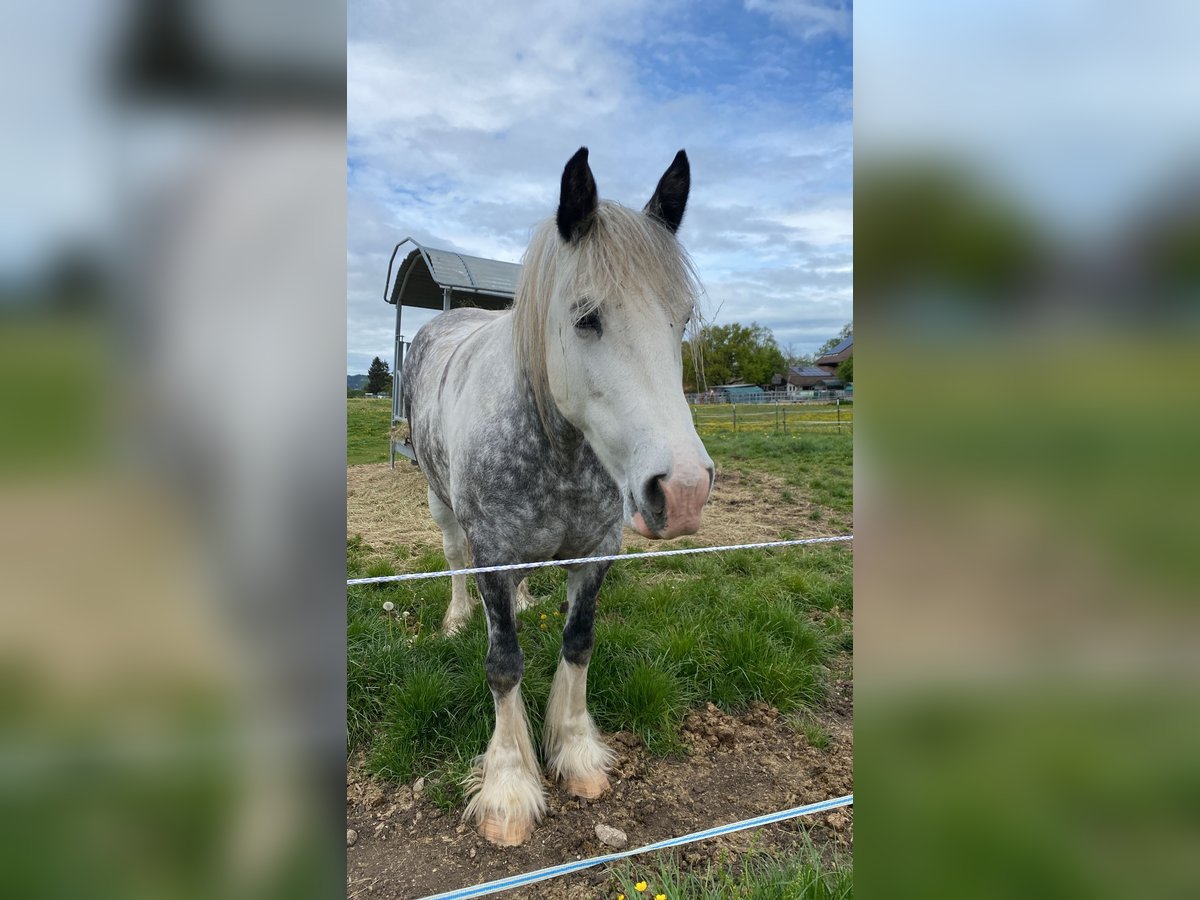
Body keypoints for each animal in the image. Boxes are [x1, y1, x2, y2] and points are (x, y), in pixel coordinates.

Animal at [408, 146, 715, 844]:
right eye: (585, 317)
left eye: (681, 318)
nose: (683, 491)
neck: (560, 451)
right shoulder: (493, 554)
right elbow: (503, 663)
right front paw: (508, 788)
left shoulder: (596, 551)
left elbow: (577, 644)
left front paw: (576, 755)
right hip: (441, 503)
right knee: (454, 560)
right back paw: (456, 618)